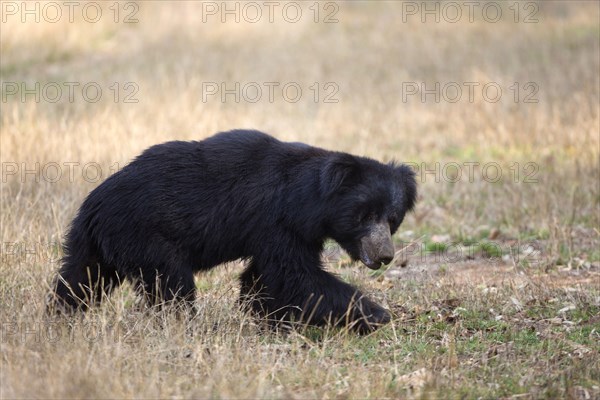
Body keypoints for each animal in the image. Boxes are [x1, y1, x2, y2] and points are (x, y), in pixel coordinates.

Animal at [49, 130, 418, 332]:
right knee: (173, 287)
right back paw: (184, 327)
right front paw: (378, 316)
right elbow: (295, 276)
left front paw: (268, 318)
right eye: (363, 215)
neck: (308, 200)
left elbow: (264, 277)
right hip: (145, 237)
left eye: (392, 219)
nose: (385, 256)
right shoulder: (276, 221)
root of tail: (93, 207)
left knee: (80, 280)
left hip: (96, 244)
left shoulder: (297, 232)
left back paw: (59, 320)